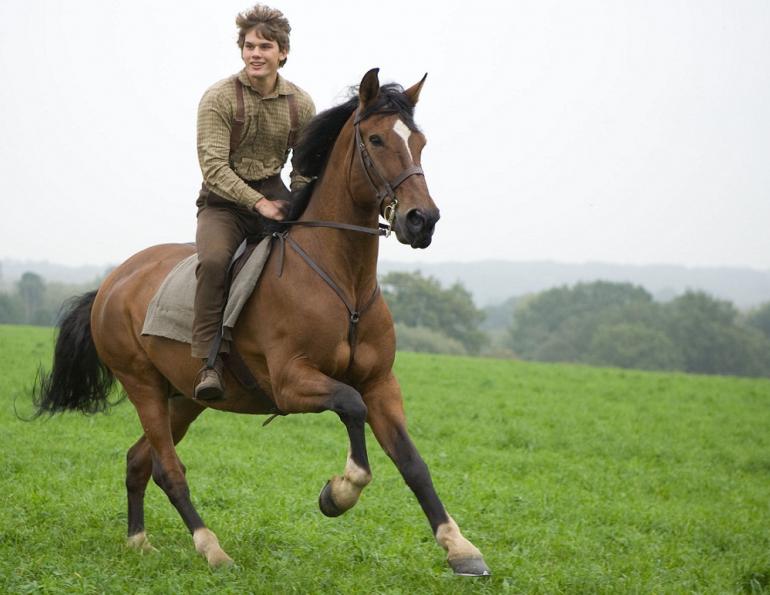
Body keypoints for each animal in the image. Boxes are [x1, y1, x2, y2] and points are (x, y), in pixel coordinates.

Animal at [33, 68, 490, 577]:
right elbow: (351, 408)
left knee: (139, 460)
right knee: (168, 470)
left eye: (420, 142)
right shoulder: (293, 382)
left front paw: (461, 548)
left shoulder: (381, 383)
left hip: (185, 397)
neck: (341, 282)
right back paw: (212, 549)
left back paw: (139, 542)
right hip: (143, 386)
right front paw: (339, 493)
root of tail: (111, 282)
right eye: (375, 139)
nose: (422, 220)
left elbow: (413, 462)